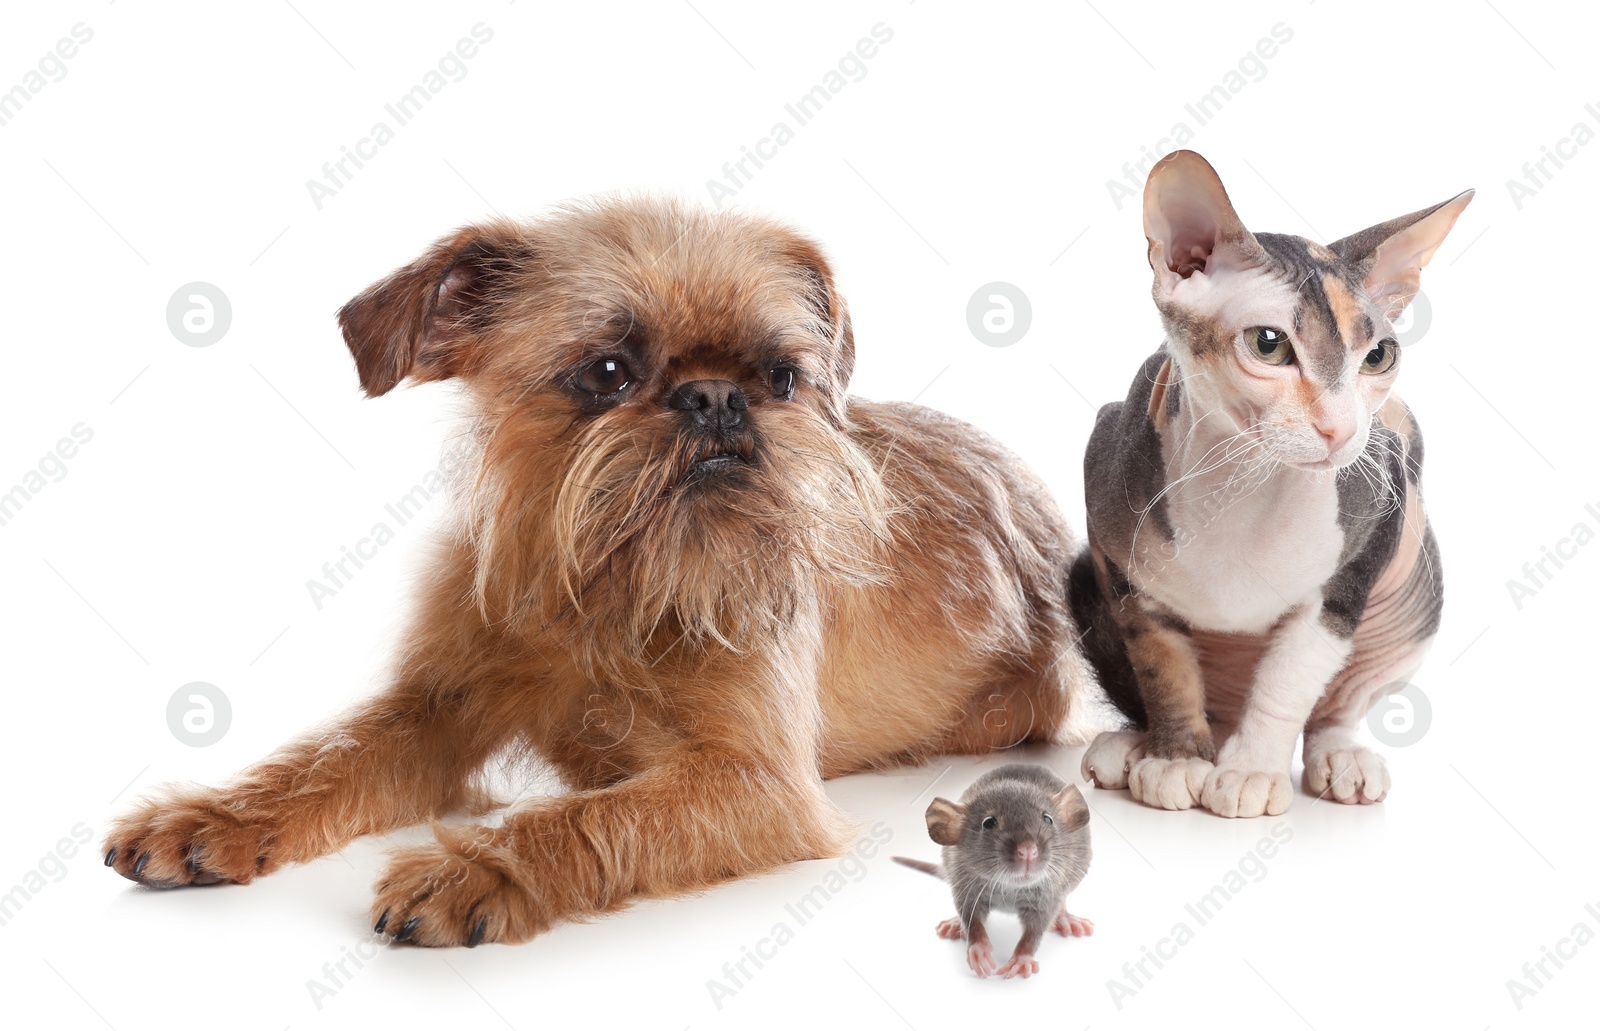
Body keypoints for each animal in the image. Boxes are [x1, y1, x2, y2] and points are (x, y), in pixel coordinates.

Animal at [106, 197, 1094, 947]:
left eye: (780, 377)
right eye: (609, 371)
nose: (716, 396)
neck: (600, 584)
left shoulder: (754, 784)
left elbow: (591, 815)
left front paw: (481, 865)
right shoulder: (433, 707)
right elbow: (327, 753)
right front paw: (217, 816)